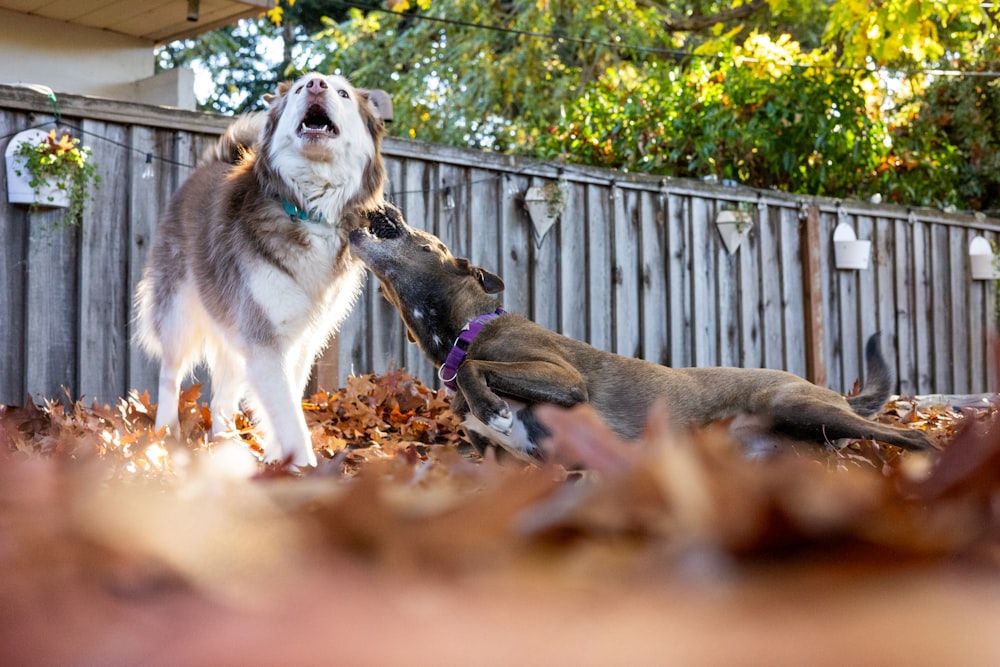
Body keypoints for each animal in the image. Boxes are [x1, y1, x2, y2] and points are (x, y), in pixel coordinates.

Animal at [139, 73, 388, 468]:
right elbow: (288, 412)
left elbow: (286, 400)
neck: (308, 210)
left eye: (343, 93)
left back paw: (224, 443)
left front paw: (277, 457)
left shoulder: (301, 338)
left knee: (222, 395)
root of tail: (212, 163)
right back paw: (166, 434)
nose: (316, 84)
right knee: (170, 374)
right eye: (301, 88)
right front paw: (304, 465)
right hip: (179, 312)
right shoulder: (264, 338)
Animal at [348, 206, 932, 462]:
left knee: (913, 437)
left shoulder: (562, 378)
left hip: (797, 406)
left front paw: (490, 403)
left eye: (423, 234)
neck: (466, 328)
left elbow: (479, 366)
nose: (383, 207)